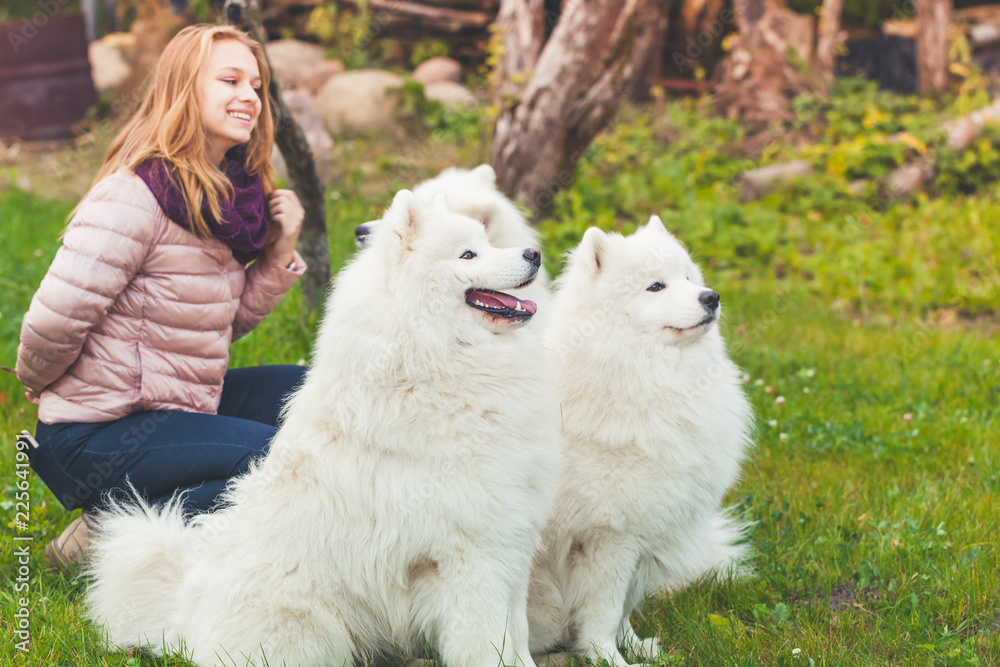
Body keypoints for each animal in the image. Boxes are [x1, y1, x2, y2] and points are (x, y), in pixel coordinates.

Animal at [84, 189, 564, 667]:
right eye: (468, 254)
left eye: (488, 242)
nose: (534, 253)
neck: (438, 355)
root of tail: (184, 616)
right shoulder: (470, 554)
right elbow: (487, 640)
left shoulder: (511, 542)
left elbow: (516, 631)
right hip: (304, 622)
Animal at [528, 217, 752, 664]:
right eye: (655, 287)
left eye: (688, 278)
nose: (711, 297)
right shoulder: (608, 537)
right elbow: (603, 611)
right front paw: (606, 657)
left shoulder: (647, 531)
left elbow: (623, 610)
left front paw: (636, 647)